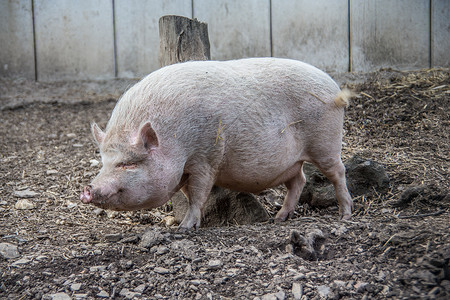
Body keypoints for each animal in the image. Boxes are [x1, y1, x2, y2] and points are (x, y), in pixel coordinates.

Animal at [81, 56, 356, 230]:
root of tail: (335, 90)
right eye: (104, 163)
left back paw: (345, 215)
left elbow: (198, 193)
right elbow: (188, 193)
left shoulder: (206, 156)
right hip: (292, 162)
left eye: (127, 164)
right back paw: (279, 219)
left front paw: (184, 228)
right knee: (299, 180)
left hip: (326, 142)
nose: (88, 189)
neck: (175, 141)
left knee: (338, 172)